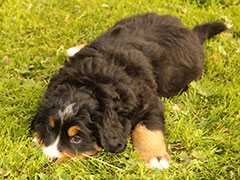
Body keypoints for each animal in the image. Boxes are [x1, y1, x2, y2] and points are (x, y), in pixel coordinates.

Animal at [31, 13, 227, 170]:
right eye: (49, 127)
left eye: (76, 139)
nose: (48, 159)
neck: (93, 80)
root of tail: (189, 31)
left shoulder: (150, 103)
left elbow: (148, 129)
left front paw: (155, 157)